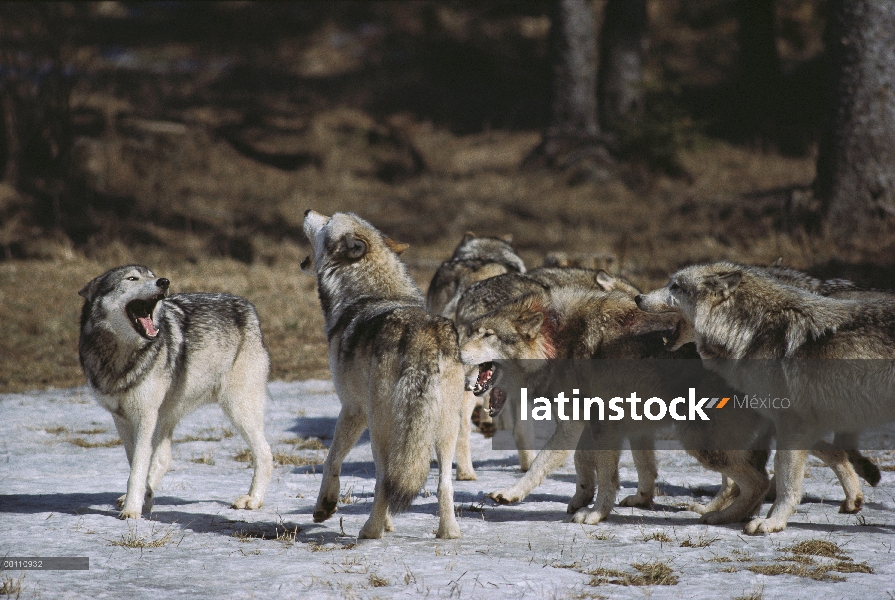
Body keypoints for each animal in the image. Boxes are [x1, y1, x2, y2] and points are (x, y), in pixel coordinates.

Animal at [77, 264, 272, 516]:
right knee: (163, 458)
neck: (121, 356)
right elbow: (137, 465)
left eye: (152, 275)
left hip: (239, 411)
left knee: (265, 453)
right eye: (132, 278)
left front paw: (131, 511)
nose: (164, 281)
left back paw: (252, 500)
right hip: (168, 417)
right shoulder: (122, 419)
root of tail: (248, 306)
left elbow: (137, 470)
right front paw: (141, 501)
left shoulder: (145, 416)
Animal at [304, 211, 466, 540]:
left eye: (327, 221)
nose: (306, 211)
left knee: (384, 480)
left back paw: (370, 531)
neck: (371, 293)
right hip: (445, 429)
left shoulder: (352, 409)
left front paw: (324, 507)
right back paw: (449, 533)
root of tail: (422, 336)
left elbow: (331, 460)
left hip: (381, 427)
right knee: (443, 484)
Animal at [636, 260, 895, 532]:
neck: (750, 330)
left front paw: (772, 523)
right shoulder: (790, 423)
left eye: (675, 286)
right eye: (668, 283)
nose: (638, 297)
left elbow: (783, 479)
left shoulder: (791, 423)